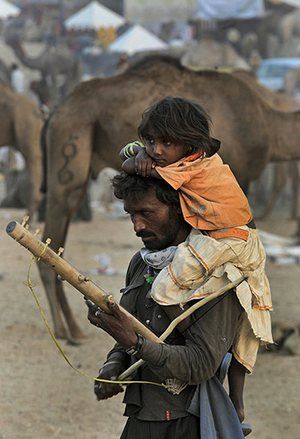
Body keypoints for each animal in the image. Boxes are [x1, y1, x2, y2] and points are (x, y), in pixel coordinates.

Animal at [38, 56, 300, 342]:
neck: (268, 126)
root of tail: (55, 111)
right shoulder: (238, 175)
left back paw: (72, 326)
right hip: (69, 147)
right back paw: (65, 330)